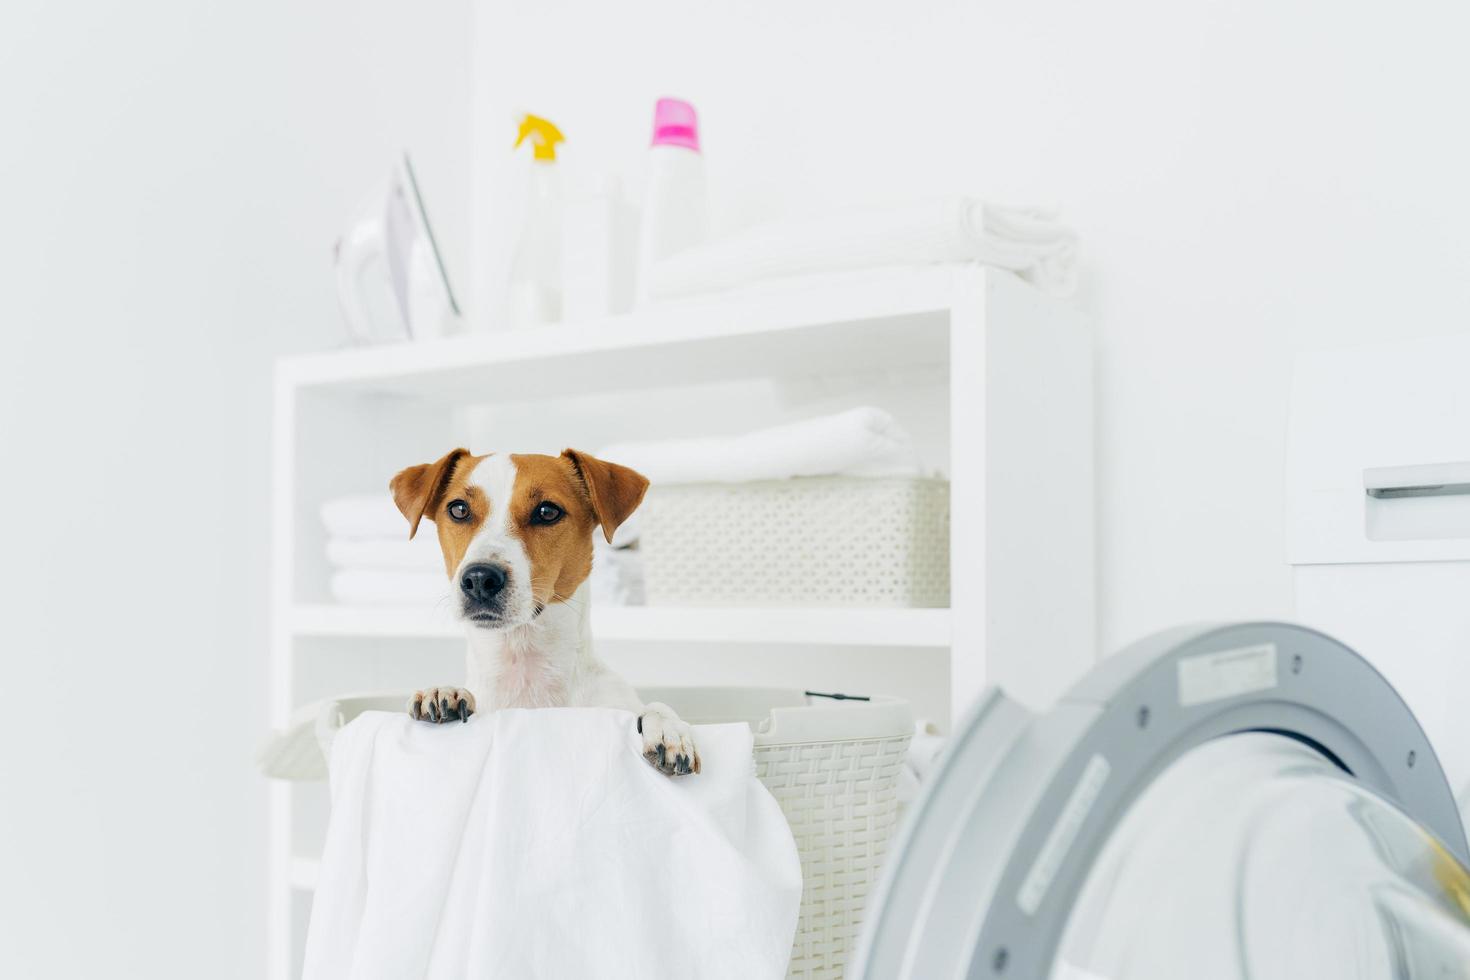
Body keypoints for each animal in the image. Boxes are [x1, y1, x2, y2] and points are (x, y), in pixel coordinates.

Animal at [391, 449, 699, 775]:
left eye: (547, 512)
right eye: (459, 509)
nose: (479, 579)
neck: (526, 666)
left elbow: (653, 707)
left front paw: (668, 728)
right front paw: (443, 692)